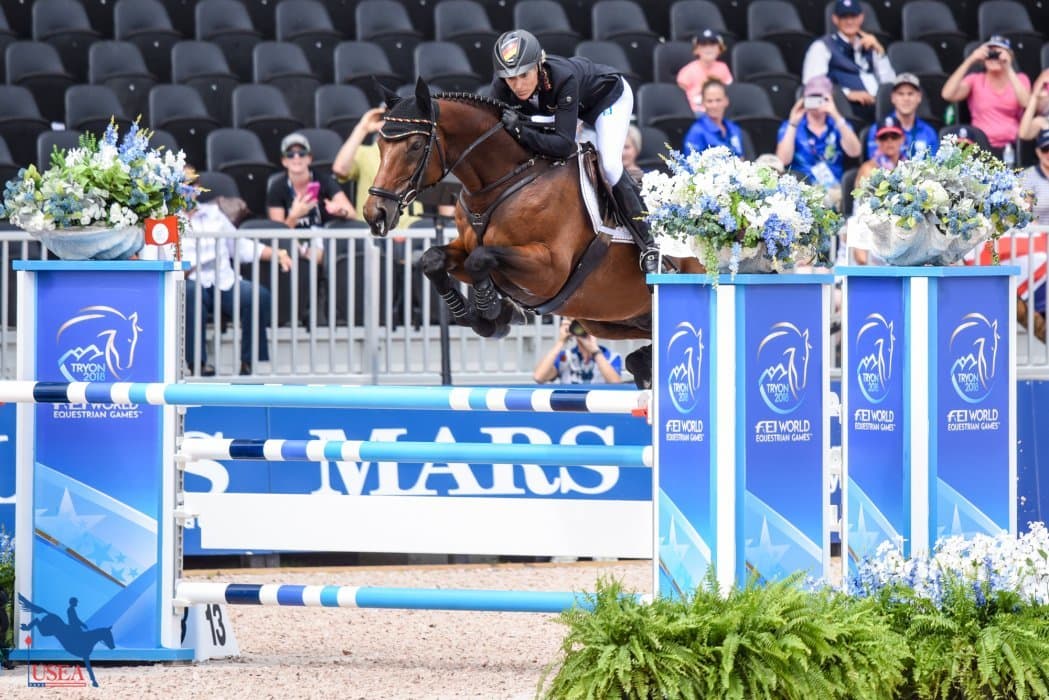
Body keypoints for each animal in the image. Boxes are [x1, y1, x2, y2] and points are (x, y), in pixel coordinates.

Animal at [362, 79, 702, 387]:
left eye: (415, 146)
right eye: (379, 145)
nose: (374, 213)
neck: (506, 180)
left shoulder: (550, 269)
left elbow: (481, 258)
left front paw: (494, 311)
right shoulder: (465, 248)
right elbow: (433, 259)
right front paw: (487, 316)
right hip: (610, 319)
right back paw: (642, 363)